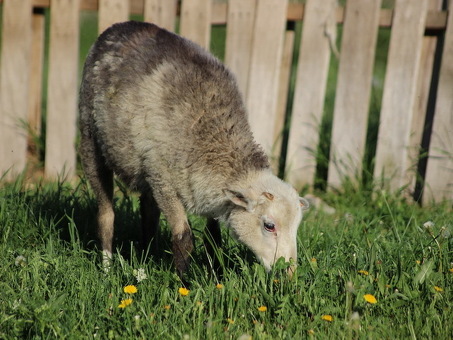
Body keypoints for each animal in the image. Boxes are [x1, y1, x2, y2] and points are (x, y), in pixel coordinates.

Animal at [79, 20, 308, 276]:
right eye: (269, 225)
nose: (288, 273)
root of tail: (122, 25)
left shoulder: (208, 193)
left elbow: (213, 239)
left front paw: (216, 274)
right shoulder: (165, 183)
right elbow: (183, 238)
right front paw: (185, 281)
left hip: (147, 167)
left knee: (148, 212)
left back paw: (148, 255)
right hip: (91, 141)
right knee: (106, 215)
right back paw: (107, 267)